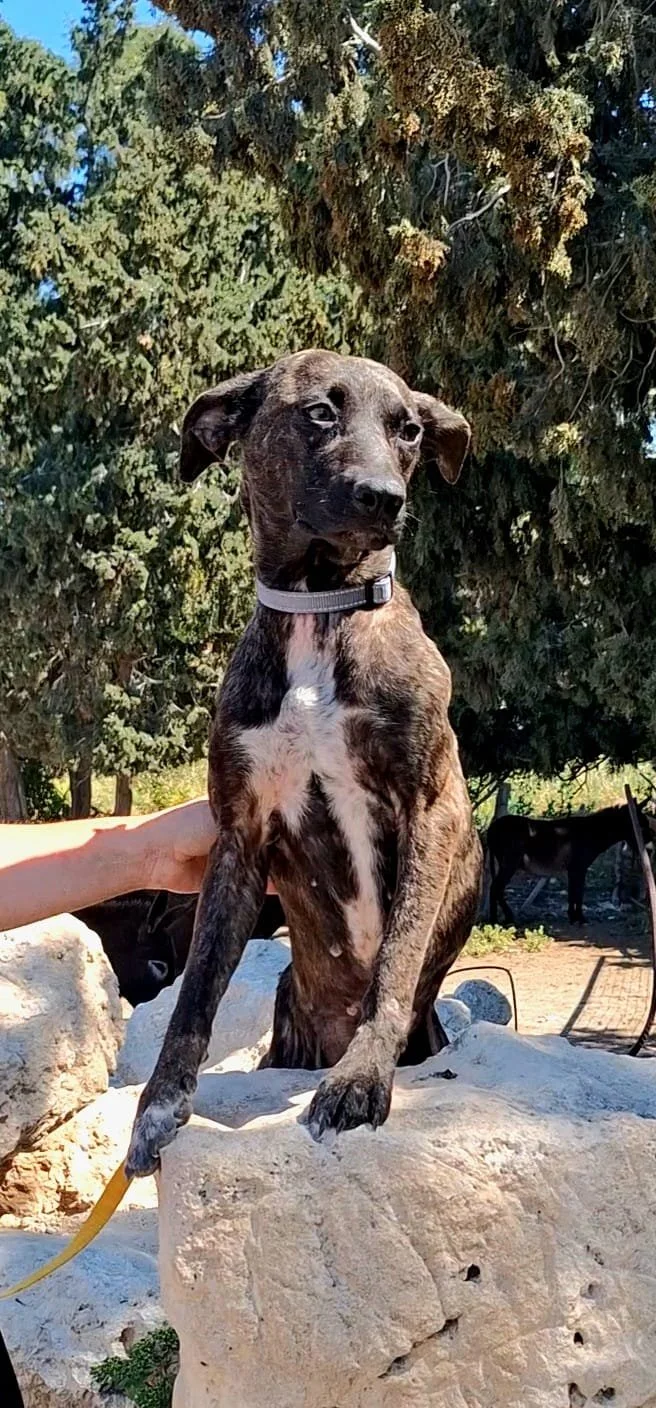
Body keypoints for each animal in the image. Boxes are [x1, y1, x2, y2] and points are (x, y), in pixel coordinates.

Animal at [126, 350, 483, 1177]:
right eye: (321, 412)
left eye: (410, 430)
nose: (385, 498)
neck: (322, 609)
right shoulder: (237, 836)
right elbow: (195, 992)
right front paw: (159, 1104)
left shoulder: (433, 807)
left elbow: (398, 955)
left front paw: (361, 1080)